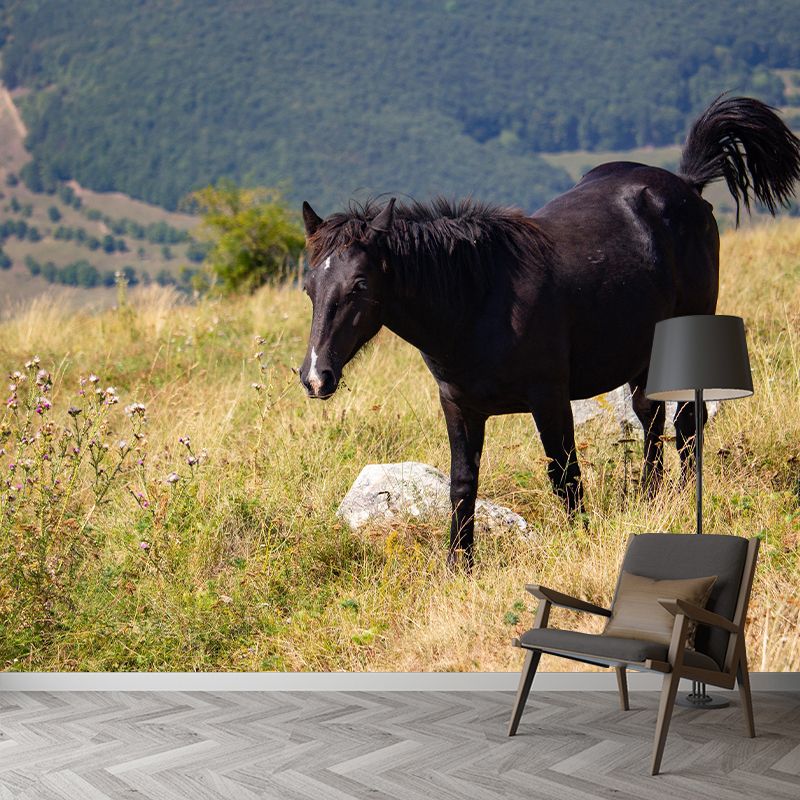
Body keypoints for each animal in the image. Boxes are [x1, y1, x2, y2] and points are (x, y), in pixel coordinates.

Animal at [298, 96, 800, 569]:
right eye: (309, 285)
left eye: (360, 285)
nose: (316, 377)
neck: (480, 301)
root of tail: (687, 186)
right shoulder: (459, 407)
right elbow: (462, 485)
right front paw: (459, 566)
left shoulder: (550, 398)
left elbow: (564, 475)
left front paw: (579, 538)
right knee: (650, 415)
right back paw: (651, 499)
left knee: (685, 420)